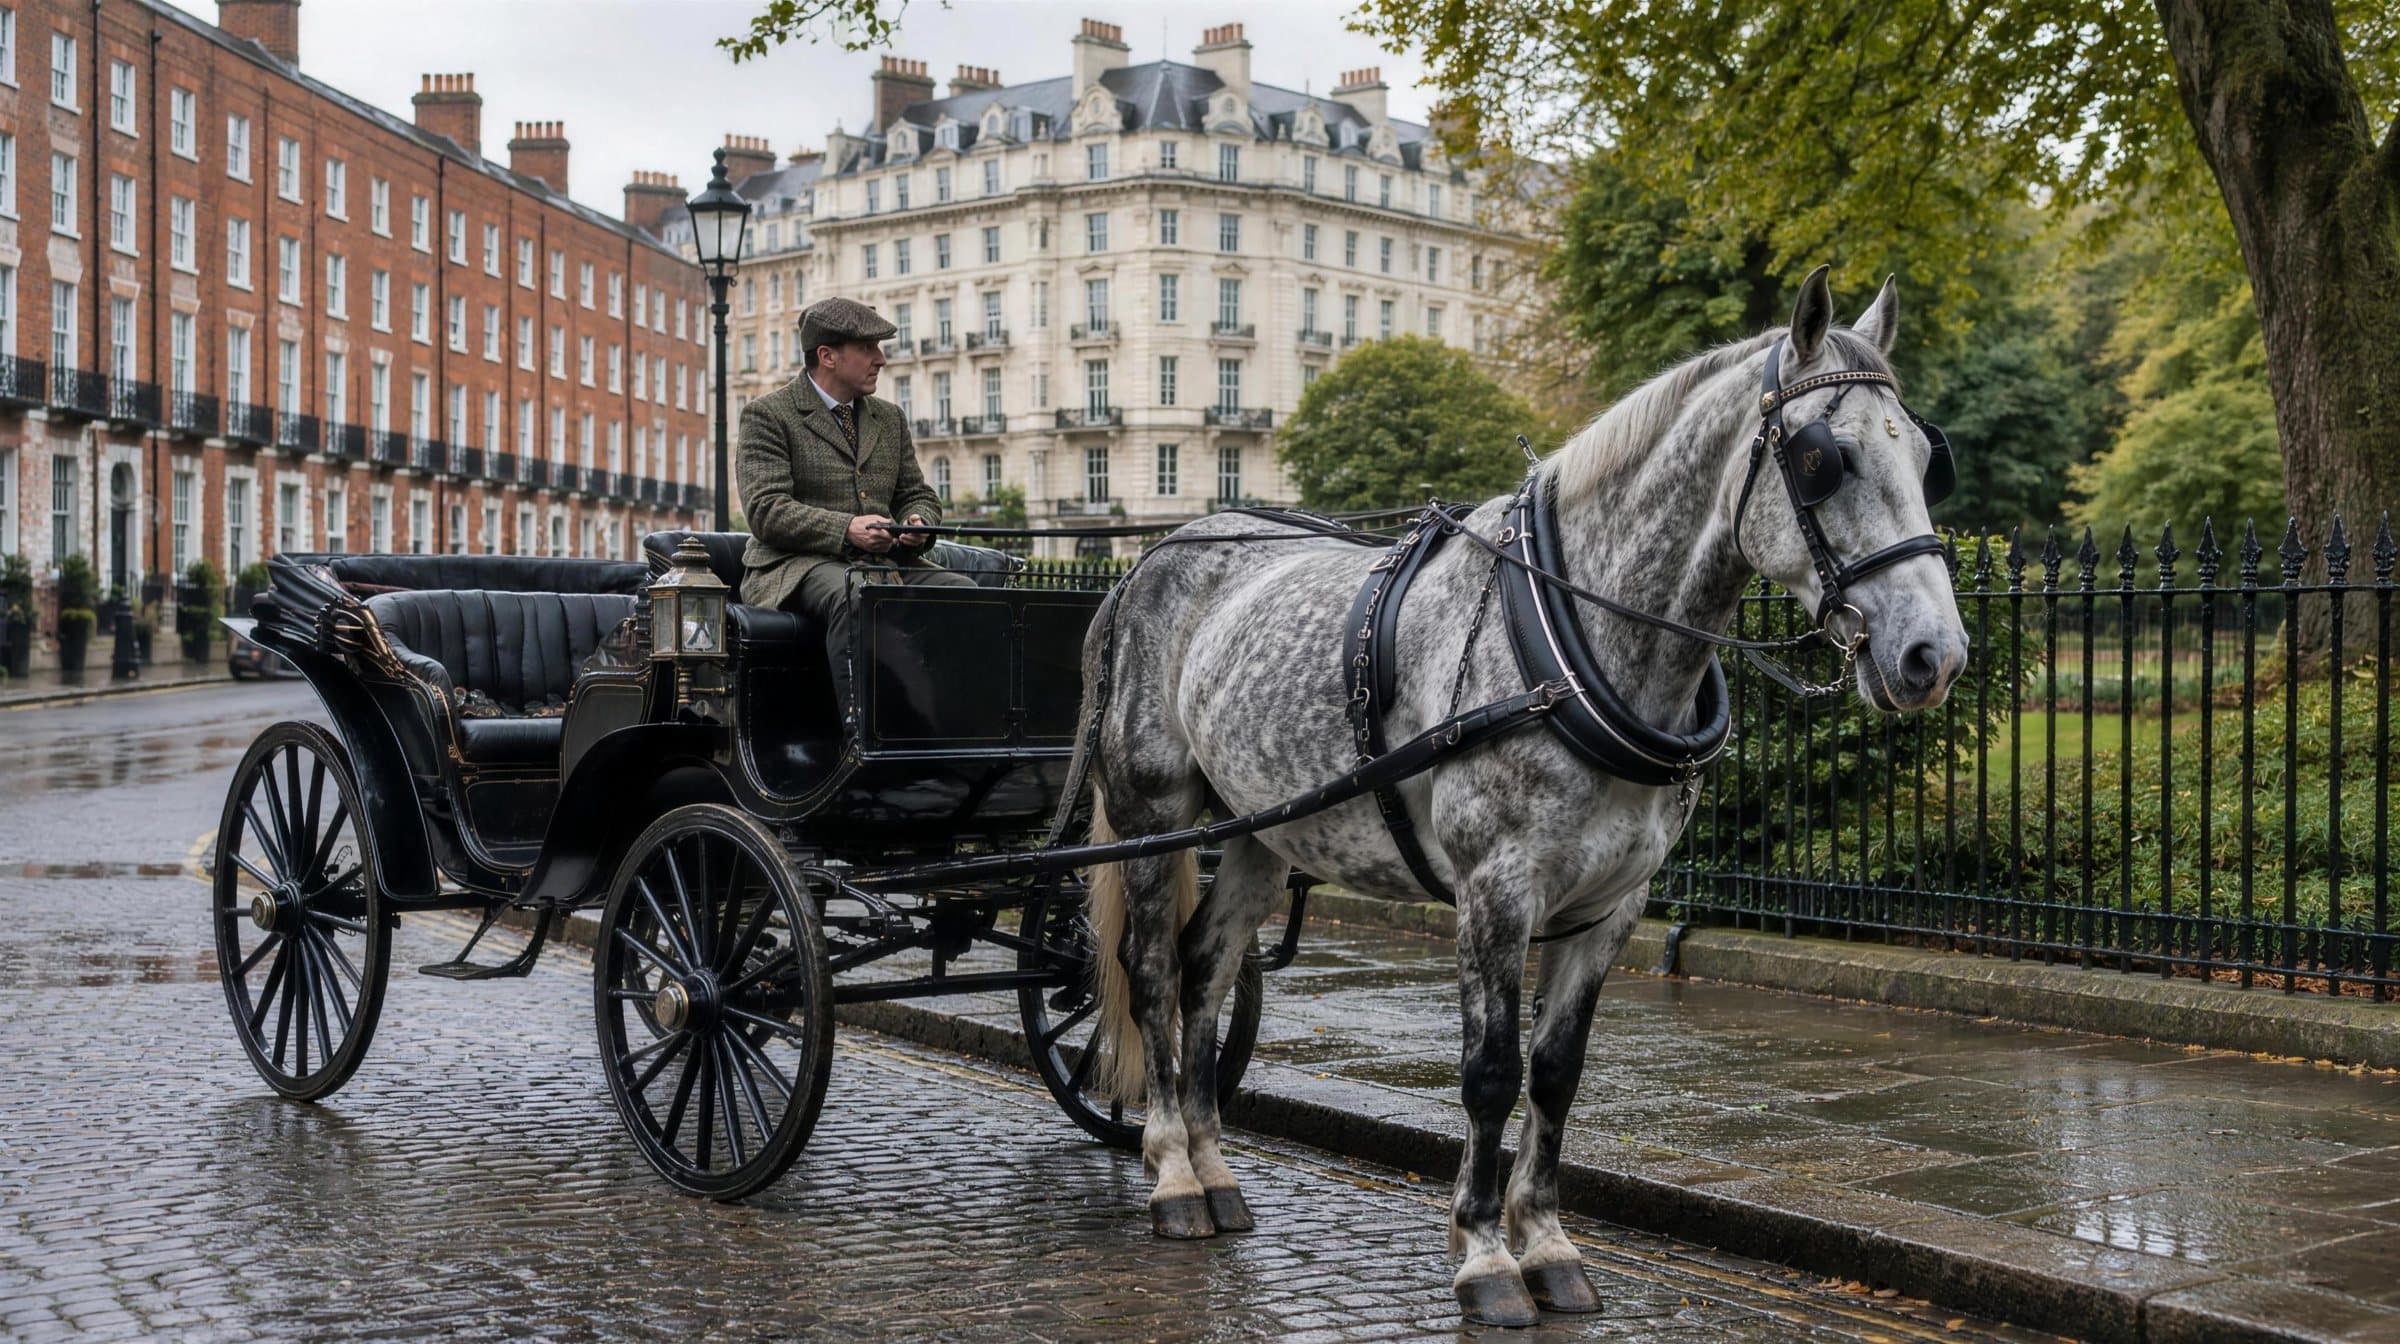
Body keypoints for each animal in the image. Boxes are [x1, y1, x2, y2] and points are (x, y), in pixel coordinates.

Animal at [1073, 267, 1970, 1327]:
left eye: (1926, 456)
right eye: (1822, 457)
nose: (1935, 655)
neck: (1577, 643)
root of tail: (1151, 556)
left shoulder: (1613, 905)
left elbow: (1555, 1073)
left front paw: (1546, 1242)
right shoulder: (1496, 892)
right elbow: (1491, 1074)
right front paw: (1484, 1255)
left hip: (1265, 830)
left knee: (1205, 967)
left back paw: (1214, 1170)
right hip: (1153, 814)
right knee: (1150, 972)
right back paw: (1172, 1169)